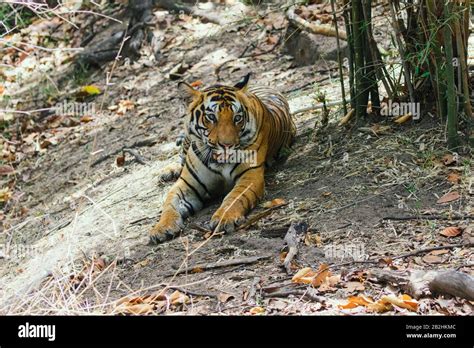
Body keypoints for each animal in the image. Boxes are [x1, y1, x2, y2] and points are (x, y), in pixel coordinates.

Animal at [150, 72, 294, 245]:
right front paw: (161, 228)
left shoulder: (250, 176)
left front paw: (224, 219)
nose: (227, 144)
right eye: (211, 117)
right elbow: (169, 205)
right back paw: (169, 171)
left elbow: (233, 198)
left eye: (237, 118)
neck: (218, 160)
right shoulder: (186, 184)